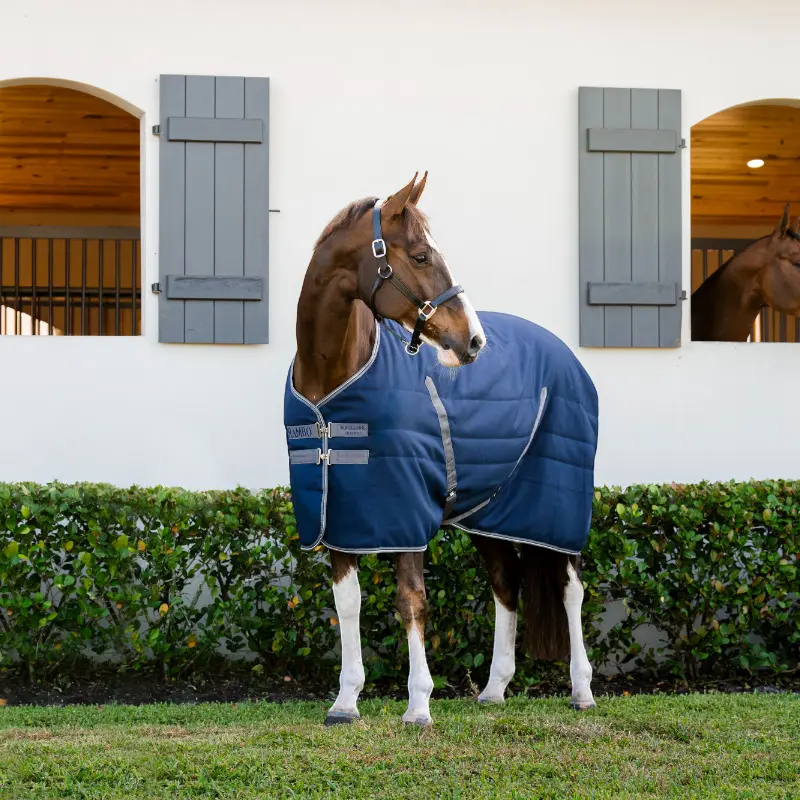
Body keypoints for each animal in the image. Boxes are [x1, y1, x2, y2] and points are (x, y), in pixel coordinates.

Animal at [284, 173, 599, 727]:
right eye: (422, 255)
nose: (473, 341)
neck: (332, 383)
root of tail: (566, 355)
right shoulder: (339, 513)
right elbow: (348, 604)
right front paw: (345, 701)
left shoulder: (404, 511)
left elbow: (411, 601)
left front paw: (418, 704)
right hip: (489, 512)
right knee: (506, 582)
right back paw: (494, 689)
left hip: (555, 510)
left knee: (571, 587)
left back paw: (582, 690)